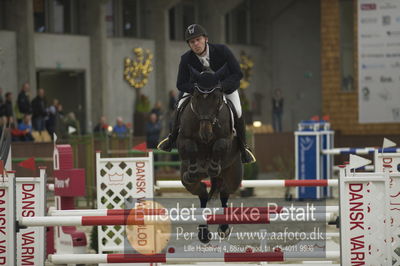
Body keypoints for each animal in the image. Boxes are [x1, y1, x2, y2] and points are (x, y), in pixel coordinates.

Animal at [177, 65, 244, 243]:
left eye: (217, 97)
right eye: (196, 96)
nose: (205, 134)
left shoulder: (226, 139)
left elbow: (219, 145)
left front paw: (213, 167)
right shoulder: (183, 139)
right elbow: (190, 147)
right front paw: (194, 170)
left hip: (233, 175)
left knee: (224, 192)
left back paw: (224, 228)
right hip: (189, 183)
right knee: (202, 193)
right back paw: (203, 232)